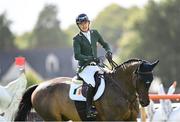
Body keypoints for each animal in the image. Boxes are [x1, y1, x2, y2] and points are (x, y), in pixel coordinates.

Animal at [14, 58, 159, 120]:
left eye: (151, 80)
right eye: (140, 80)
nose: (145, 102)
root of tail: (39, 86)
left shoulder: (131, 119)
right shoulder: (113, 119)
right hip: (52, 119)